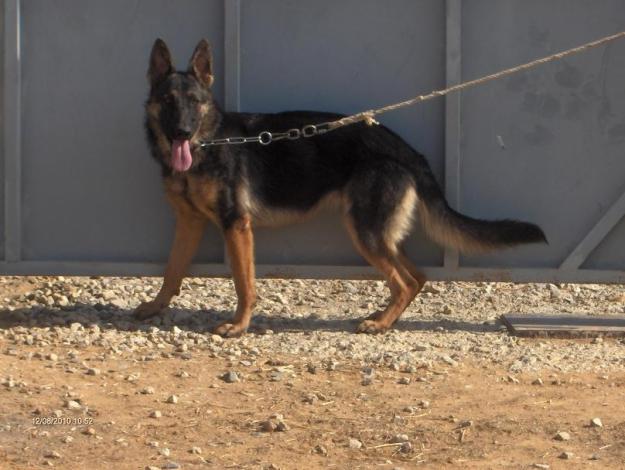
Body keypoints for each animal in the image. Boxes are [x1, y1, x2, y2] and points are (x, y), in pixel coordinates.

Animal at [134, 38, 544, 336]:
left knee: (404, 281)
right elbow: (172, 270)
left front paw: (238, 325)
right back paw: (386, 316)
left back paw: (380, 324)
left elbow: (243, 282)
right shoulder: (189, 223)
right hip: (378, 233)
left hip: (364, 231)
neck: (211, 141)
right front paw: (156, 307)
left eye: (195, 102)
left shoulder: (237, 226)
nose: (181, 133)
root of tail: (407, 151)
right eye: (168, 101)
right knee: (416, 277)